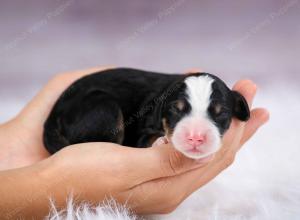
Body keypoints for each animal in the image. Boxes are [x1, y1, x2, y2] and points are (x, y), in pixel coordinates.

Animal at [43, 68, 250, 159]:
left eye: (220, 113)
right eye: (176, 109)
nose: (196, 138)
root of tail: (53, 114)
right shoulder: (143, 129)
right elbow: (146, 140)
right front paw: (161, 141)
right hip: (105, 108)